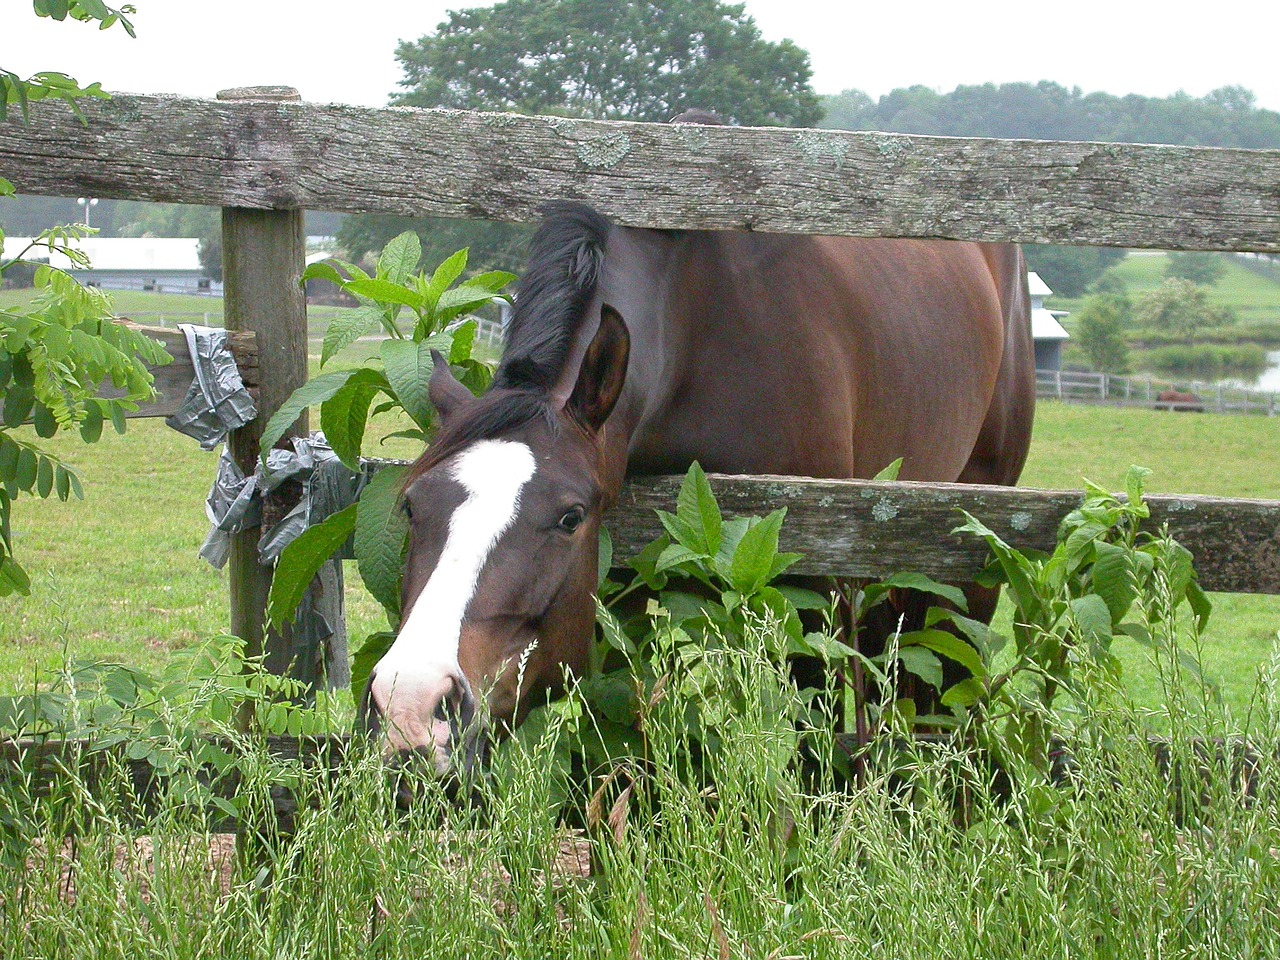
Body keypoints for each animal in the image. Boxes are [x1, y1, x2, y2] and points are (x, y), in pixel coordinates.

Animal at [363, 200, 1039, 773]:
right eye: (412, 507)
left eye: (569, 517)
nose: (409, 707)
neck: (699, 327)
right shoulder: (622, 584)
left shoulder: (806, 589)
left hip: (971, 554)